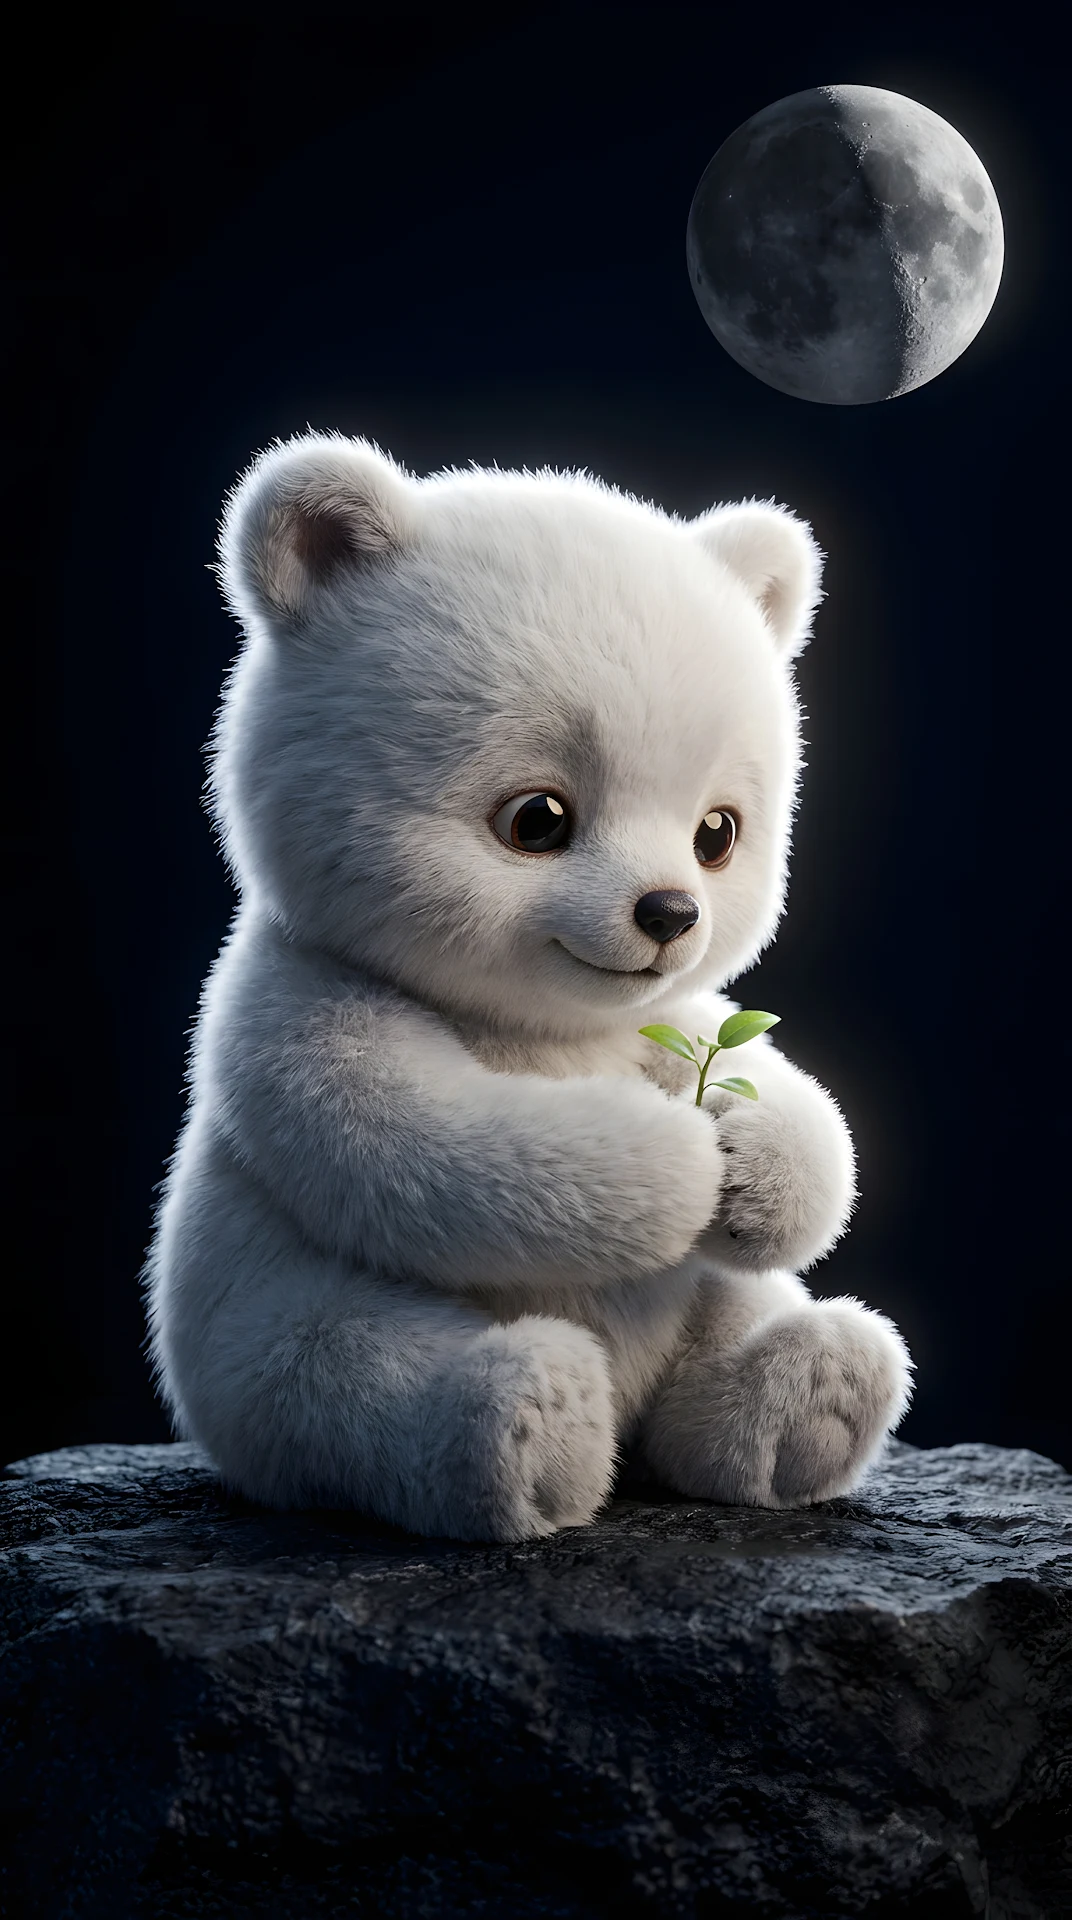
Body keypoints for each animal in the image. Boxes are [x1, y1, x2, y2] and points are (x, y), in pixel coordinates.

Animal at [144, 431, 912, 1541]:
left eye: (717, 832)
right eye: (538, 818)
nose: (670, 915)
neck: (544, 1025)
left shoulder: (670, 1017)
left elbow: (786, 1091)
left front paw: (758, 1163)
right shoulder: (301, 999)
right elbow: (416, 1138)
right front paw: (675, 1164)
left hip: (701, 1315)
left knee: (738, 1319)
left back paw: (807, 1398)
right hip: (267, 1335)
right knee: (349, 1380)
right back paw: (537, 1433)